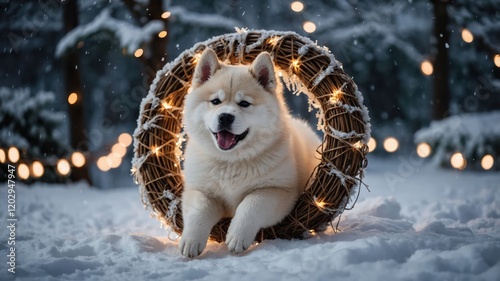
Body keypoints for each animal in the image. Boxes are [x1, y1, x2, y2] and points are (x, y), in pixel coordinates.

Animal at [180, 48, 320, 256]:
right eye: (215, 101)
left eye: (244, 103)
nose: (225, 117)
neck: (231, 161)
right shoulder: (200, 190)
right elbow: (199, 210)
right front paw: (191, 241)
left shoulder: (278, 190)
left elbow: (251, 204)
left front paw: (237, 236)